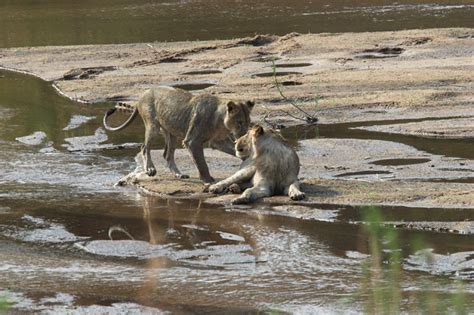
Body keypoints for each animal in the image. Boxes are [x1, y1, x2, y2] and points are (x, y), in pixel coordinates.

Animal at [102, 87, 254, 184]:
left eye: (248, 122)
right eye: (239, 122)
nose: (244, 134)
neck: (221, 121)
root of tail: (143, 94)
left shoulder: (218, 141)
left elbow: (233, 150)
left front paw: (248, 157)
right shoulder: (192, 141)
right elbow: (201, 163)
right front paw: (207, 180)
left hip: (171, 133)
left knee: (167, 155)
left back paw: (178, 174)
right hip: (153, 126)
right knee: (144, 147)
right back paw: (150, 169)